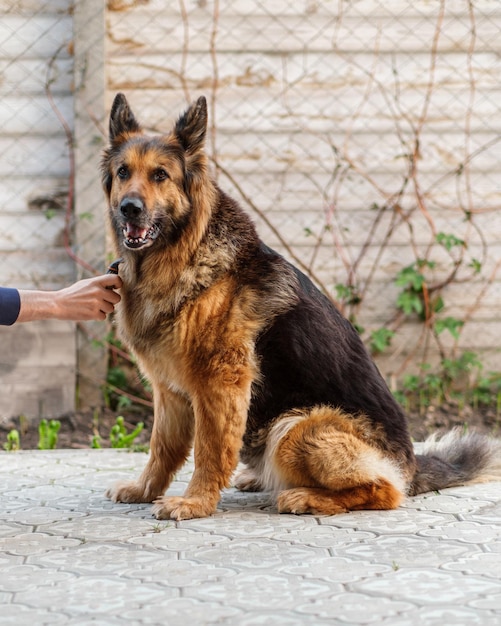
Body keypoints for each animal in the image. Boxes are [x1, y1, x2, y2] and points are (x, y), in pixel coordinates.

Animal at [102, 92, 500, 520]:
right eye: (124, 172)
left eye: (160, 175)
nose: (129, 208)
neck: (182, 254)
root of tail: (409, 464)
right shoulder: (169, 392)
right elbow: (162, 448)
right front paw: (145, 489)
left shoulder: (220, 385)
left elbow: (210, 450)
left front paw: (196, 502)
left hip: (295, 427)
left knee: (385, 490)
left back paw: (304, 496)